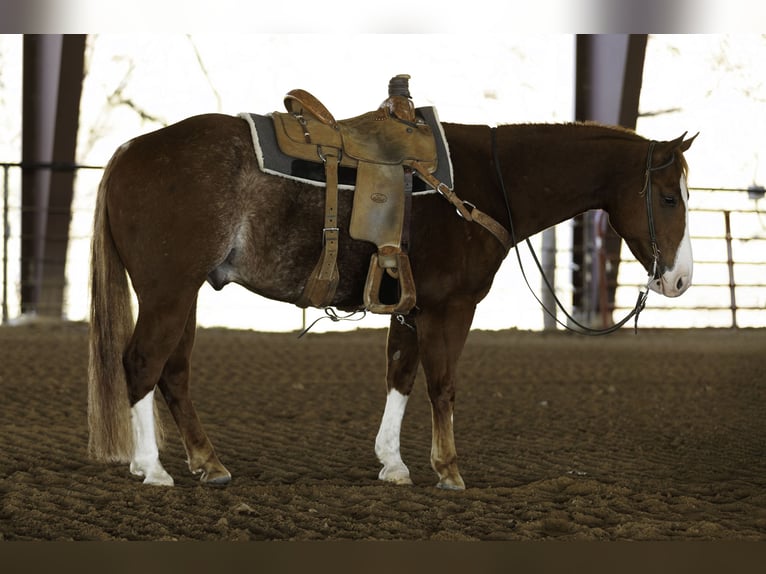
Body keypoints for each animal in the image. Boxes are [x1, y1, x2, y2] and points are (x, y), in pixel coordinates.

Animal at [87, 114, 696, 489]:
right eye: (669, 197)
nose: (681, 280)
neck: (483, 185)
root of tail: (129, 150)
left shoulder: (410, 306)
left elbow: (400, 374)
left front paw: (393, 464)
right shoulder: (451, 308)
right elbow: (441, 383)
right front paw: (448, 470)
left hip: (185, 293)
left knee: (174, 373)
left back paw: (207, 463)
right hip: (167, 292)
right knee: (141, 364)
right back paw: (153, 469)